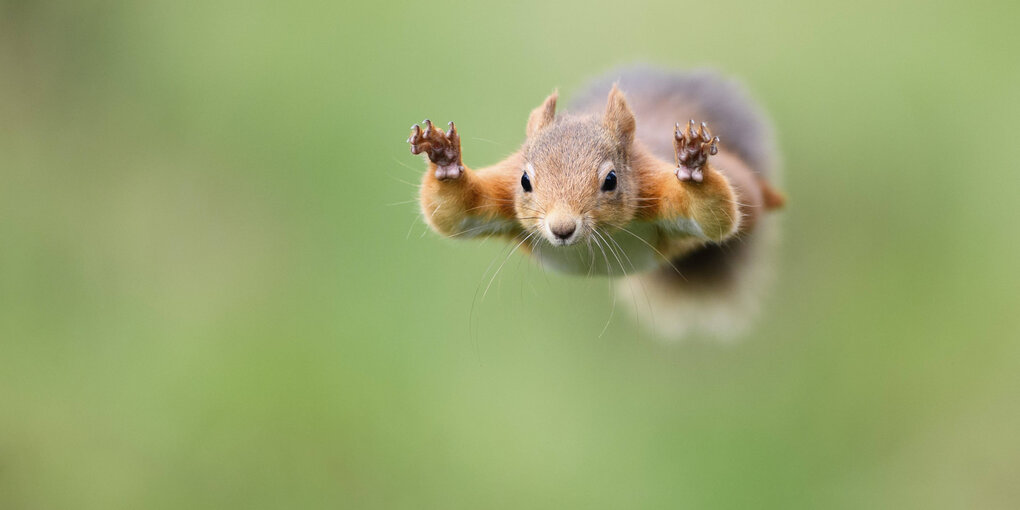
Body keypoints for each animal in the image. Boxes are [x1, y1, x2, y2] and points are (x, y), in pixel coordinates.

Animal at [410, 67, 783, 338]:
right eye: (525, 181)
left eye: (611, 180)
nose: (562, 229)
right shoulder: (500, 192)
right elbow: (453, 214)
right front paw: (444, 159)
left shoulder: (658, 191)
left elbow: (715, 216)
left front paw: (694, 167)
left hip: (742, 183)